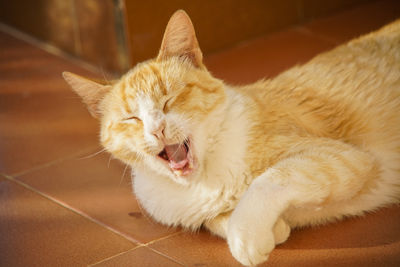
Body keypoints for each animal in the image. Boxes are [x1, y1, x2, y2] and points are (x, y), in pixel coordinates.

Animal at [63, 9, 400, 266]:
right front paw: (272, 229)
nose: (156, 129)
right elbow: (217, 219)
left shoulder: (342, 157)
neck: (203, 182)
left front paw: (247, 237)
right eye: (131, 118)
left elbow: (270, 180)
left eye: (169, 100)